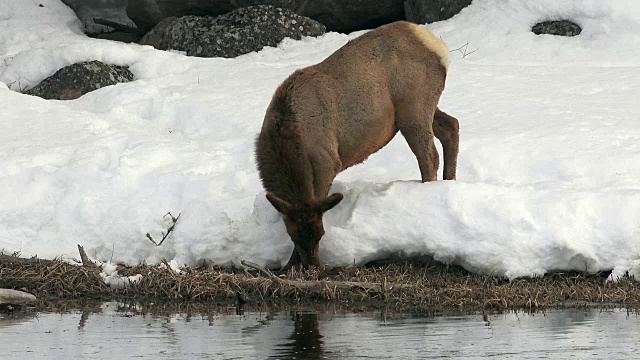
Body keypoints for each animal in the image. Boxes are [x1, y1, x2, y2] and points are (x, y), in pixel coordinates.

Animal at [255, 19, 460, 268]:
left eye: (320, 234)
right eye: (293, 235)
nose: (312, 265)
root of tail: (439, 48)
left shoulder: (327, 159)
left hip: (414, 108)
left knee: (429, 155)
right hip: (421, 107)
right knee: (451, 125)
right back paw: (450, 181)